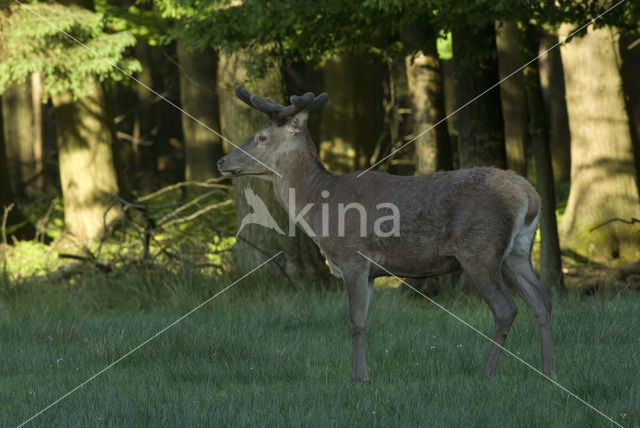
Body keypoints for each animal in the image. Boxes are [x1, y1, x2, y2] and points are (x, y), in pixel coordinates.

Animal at [216, 85, 556, 382]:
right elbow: (365, 320)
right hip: (517, 252)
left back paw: (487, 375)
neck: (317, 207)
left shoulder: (352, 258)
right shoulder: (368, 271)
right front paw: (362, 373)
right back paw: (548, 373)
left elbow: (355, 322)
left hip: (480, 248)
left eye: (261, 137)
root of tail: (529, 195)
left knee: (506, 309)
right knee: (542, 300)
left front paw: (358, 377)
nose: (222, 161)